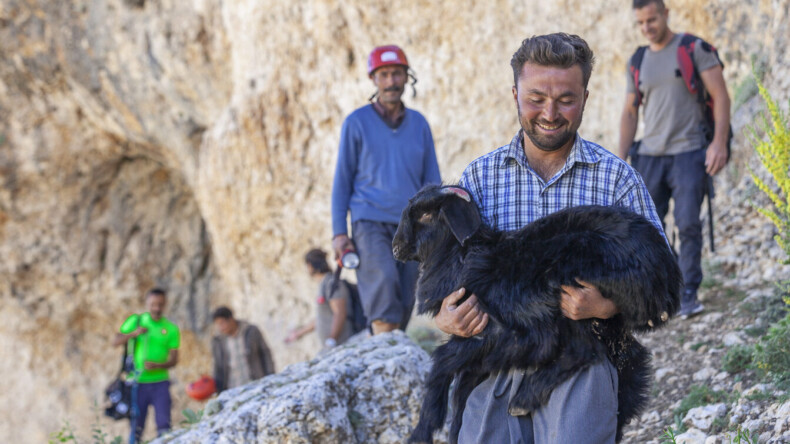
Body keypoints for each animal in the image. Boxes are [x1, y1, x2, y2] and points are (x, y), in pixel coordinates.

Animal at [392, 183, 684, 440]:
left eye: (427, 215)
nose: (396, 246)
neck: (460, 260)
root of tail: (668, 276)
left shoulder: (505, 332)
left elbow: (442, 362)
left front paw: (421, 433)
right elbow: (462, 384)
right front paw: (453, 430)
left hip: (575, 290)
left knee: (584, 349)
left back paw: (524, 398)